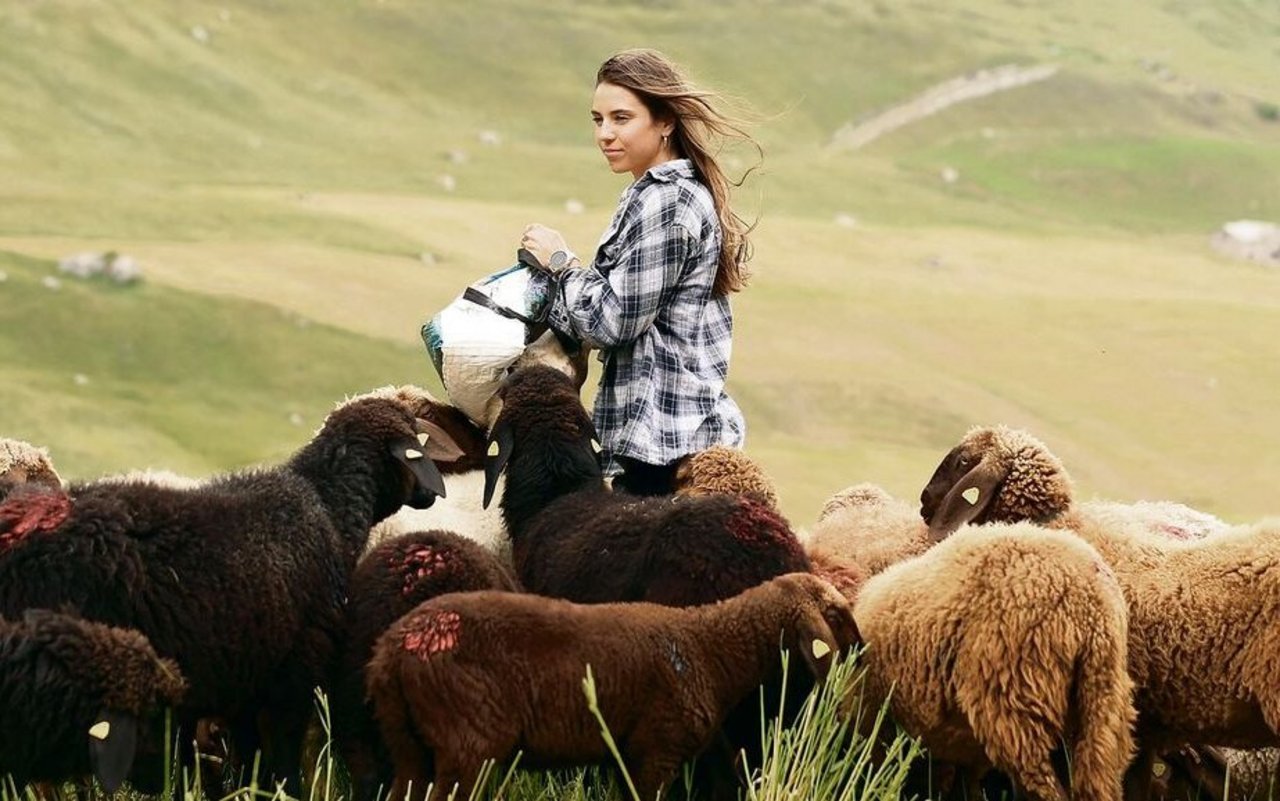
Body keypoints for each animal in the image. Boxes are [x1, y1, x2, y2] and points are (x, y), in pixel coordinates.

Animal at [363, 570, 860, 798]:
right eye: (836, 615)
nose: (862, 651)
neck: (710, 649)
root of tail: (393, 649)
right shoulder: (657, 753)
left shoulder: (627, 757)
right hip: (467, 743)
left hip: (408, 744)